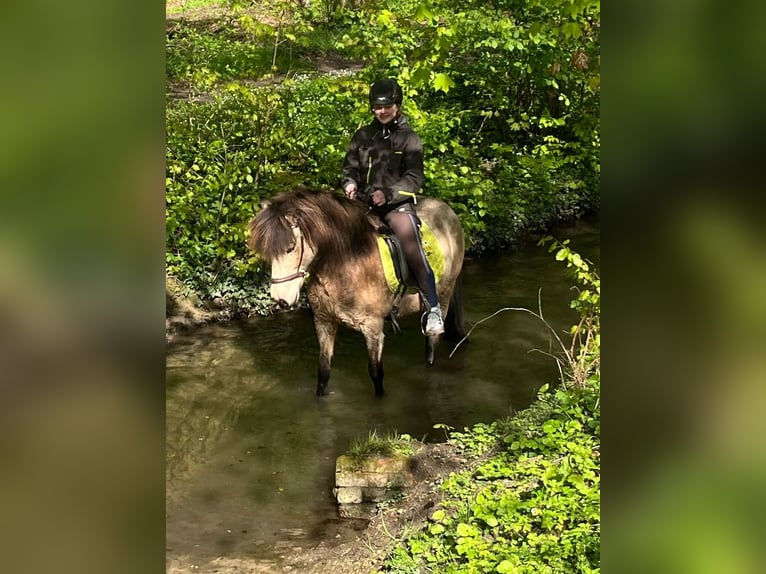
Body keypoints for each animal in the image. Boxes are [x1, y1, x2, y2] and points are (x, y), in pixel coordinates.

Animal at [250, 187, 468, 398]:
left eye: (290, 248)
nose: (280, 300)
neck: (348, 261)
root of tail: (448, 210)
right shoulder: (324, 322)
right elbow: (323, 372)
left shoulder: (373, 329)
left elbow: (376, 374)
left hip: (444, 295)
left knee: (431, 344)